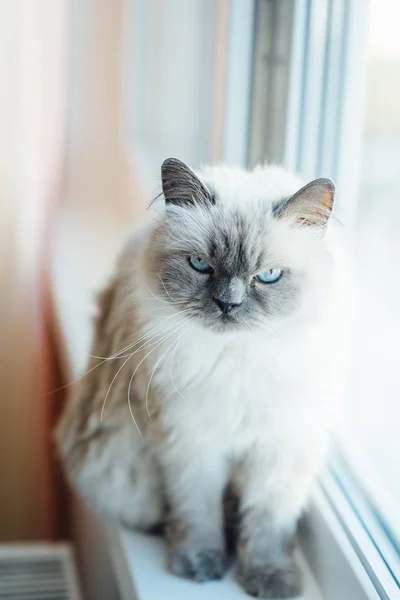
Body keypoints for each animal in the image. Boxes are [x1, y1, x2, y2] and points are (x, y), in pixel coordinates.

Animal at [56, 157, 346, 596]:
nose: (229, 304)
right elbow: (199, 513)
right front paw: (201, 565)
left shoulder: (279, 449)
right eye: (201, 266)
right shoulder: (192, 443)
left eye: (269, 275)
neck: (239, 359)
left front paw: (269, 578)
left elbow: (267, 524)